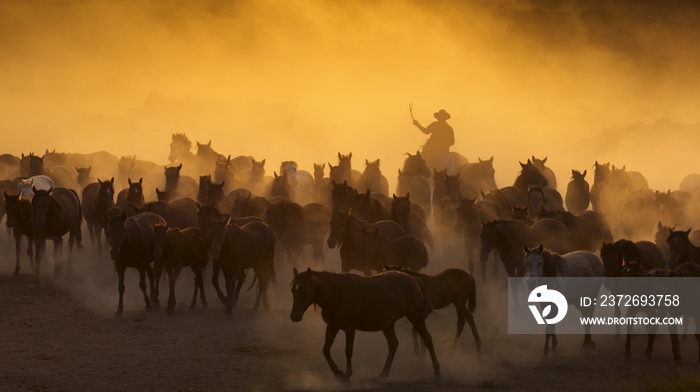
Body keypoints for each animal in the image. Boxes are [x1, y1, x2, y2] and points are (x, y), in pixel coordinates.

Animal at [288, 268, 438, 382]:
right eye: (293, 291)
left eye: (305, 291)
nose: (294, 316)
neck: (338, 294)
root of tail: (413, 279)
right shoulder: (332, 326)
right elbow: (325, 350)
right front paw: (338, 373)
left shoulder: (350, 328)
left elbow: (348, 351)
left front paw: (347, 375)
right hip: (388, 324)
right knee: (393, 344)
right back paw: (383, 374)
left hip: (416, 318)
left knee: (427, 340)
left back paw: (437, 371)